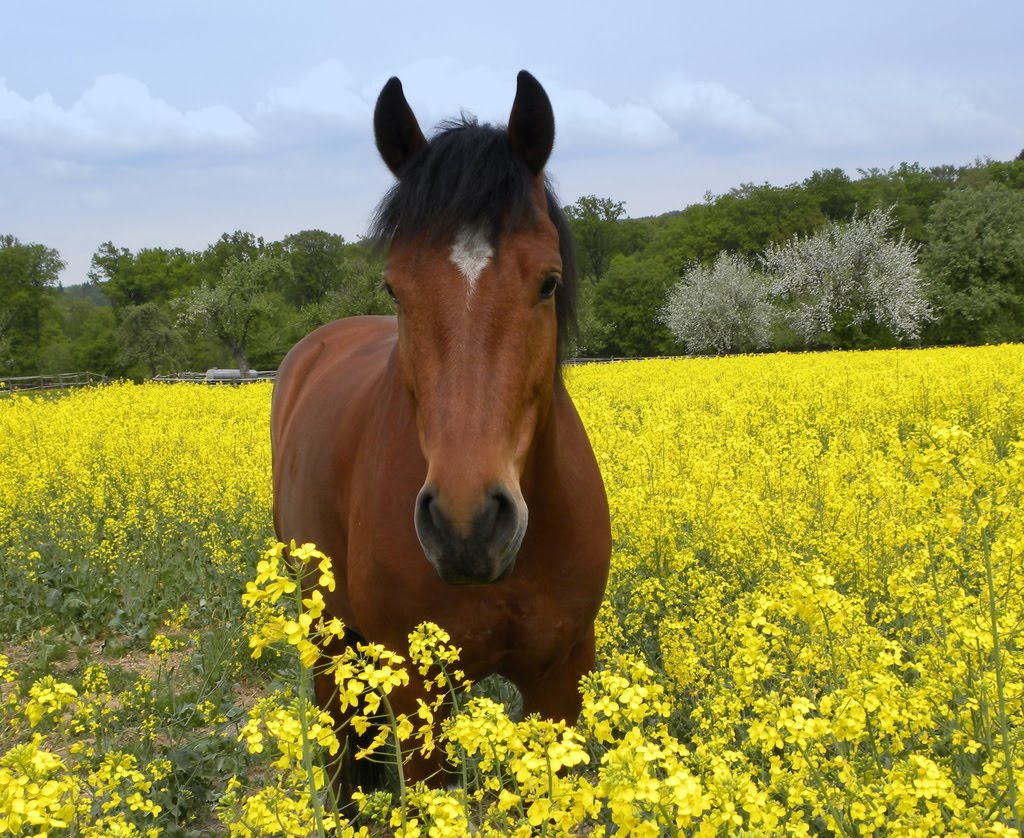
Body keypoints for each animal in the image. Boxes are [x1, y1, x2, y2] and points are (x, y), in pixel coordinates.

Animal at [268, 68, 610, 786]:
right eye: (394, 289)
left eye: (548, 282)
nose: (467, 526)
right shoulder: (416, 691)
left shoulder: (562, 677)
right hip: (326, 638)